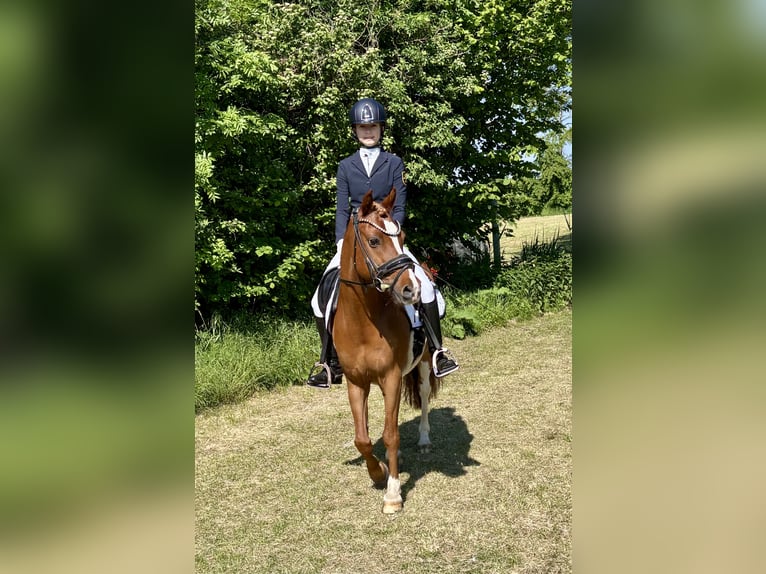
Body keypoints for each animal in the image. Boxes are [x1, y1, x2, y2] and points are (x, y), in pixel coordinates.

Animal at [333, 188, 441, 514]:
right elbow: (363, 438)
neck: (363, 322)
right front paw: (377, 472)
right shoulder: (356, 382)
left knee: (424, 396)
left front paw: (393, 493)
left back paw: (423, 440)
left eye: (401, 237)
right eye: (374, 241)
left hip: (423, 364)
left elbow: (390, 434)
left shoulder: (392, 377)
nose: (411, 290)